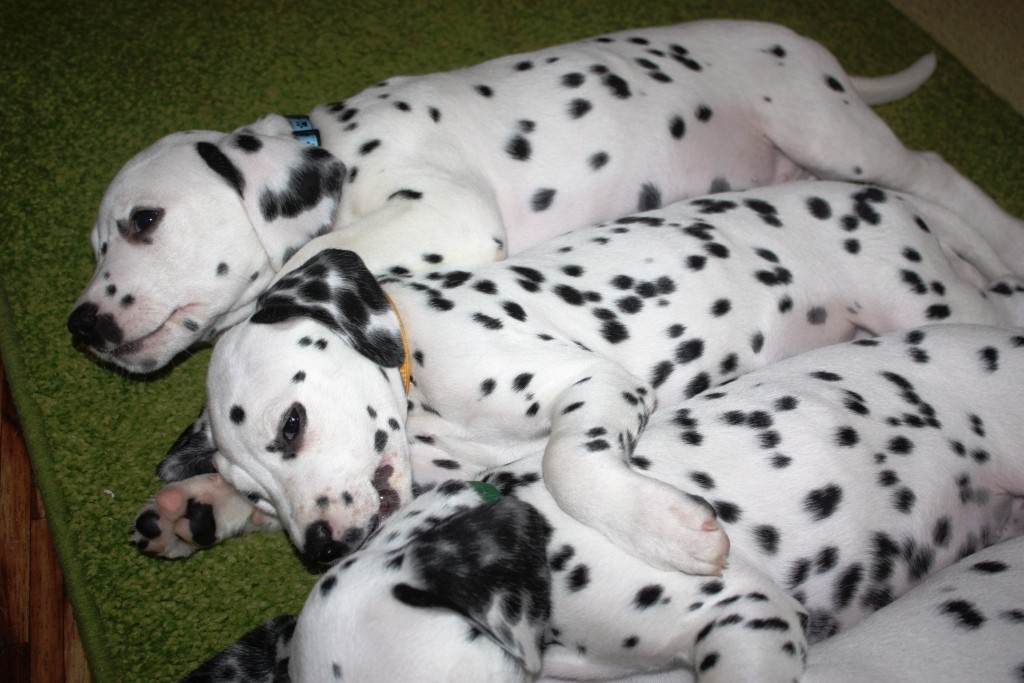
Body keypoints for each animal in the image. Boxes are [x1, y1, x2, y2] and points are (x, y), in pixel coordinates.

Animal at [71, 19, 1024, 376]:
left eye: (144, 222)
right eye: (96, 244)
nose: (82, 325)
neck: (334, 144)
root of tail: (804, 43)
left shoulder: (445, 210)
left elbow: (301, 255)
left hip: (831, 131)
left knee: (937, 174)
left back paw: (1009, 244)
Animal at [135, 180, 1024, 572]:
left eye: (292, 423)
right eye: (256, 487)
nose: (319, 548)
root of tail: (892, 196)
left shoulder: (595, 385)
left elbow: (569, 462)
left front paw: (669, 529)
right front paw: (193, 507)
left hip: (931, 296)